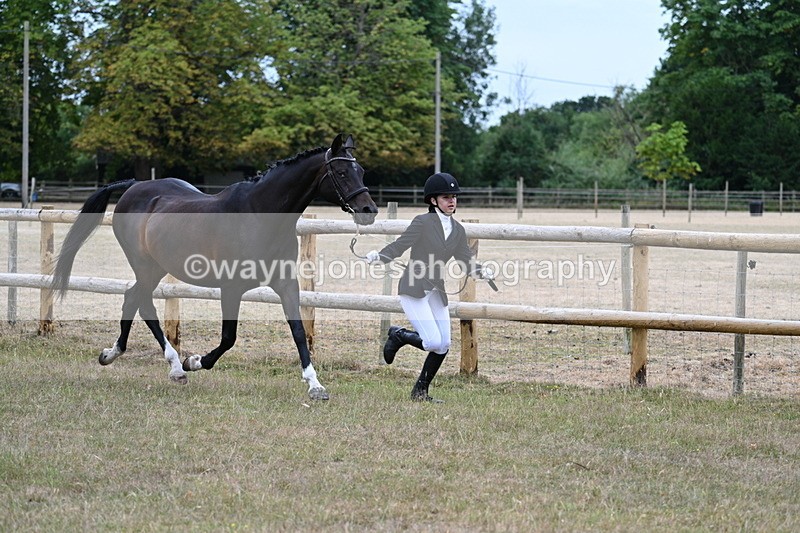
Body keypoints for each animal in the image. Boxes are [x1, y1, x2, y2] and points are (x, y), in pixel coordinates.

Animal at [52, 133, 378, 400]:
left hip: (155, 267)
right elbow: (228, 338)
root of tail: (134, 187)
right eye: (340, 171)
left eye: (361, 171)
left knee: (132, 299)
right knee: (142, 303)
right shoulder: (231, 287)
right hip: (144, 266)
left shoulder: (286, 284)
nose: (369, 211)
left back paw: (114, 354)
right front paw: (194, 361)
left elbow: (298, 331)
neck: (258, 214)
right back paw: (174, 366)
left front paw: (315, 385)